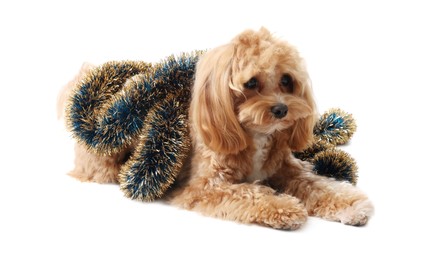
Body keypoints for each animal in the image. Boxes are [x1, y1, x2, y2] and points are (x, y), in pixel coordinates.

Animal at [168, 27, 372, 229]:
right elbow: (247, 192)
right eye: (251, 82)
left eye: (286, 79)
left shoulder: (289, 169)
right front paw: (283, 206)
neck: (257, 134)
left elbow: (319, 184)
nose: (281, 109)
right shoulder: (205, 187)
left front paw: (349, 203)